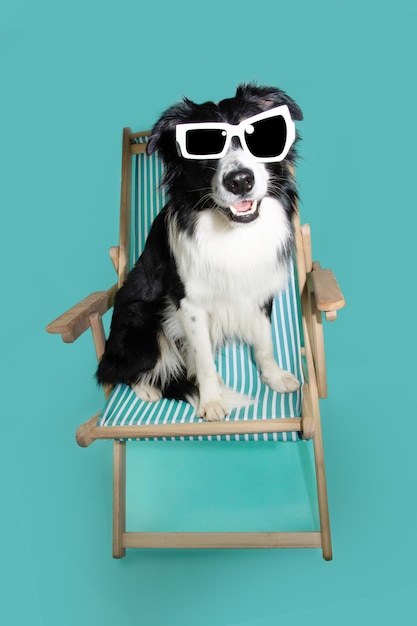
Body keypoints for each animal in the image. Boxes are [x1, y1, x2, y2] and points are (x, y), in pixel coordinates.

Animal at [99, 80, 304, 416]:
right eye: (202, 146)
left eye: (259, 136)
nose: (240, 181)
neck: (234, 232)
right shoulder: (190, 304)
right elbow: (204, 358)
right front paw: (211, 402)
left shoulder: (260, 290)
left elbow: (264, 342)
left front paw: (274, 377)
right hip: (139, 325)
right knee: (119, 371)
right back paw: (146, 388)